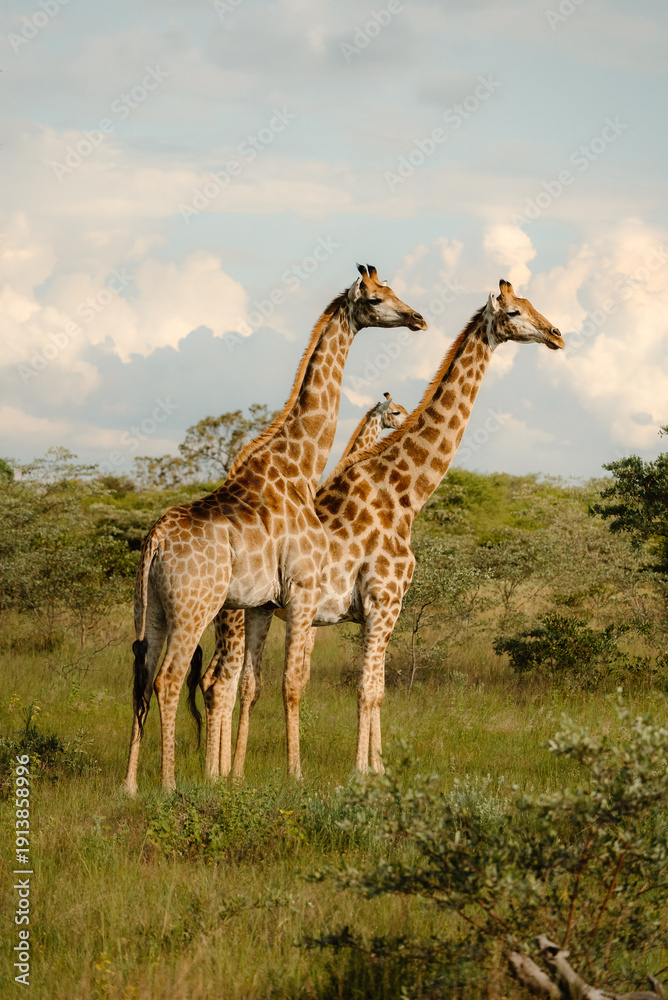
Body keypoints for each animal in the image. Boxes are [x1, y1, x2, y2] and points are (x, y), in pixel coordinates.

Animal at [193, 390, 409, 777]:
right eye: (395, 411)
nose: (408, 416)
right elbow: (302, 680)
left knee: (210, 680)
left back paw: (216, 766)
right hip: (235, 623)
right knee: (221, 683)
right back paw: (219, 771)